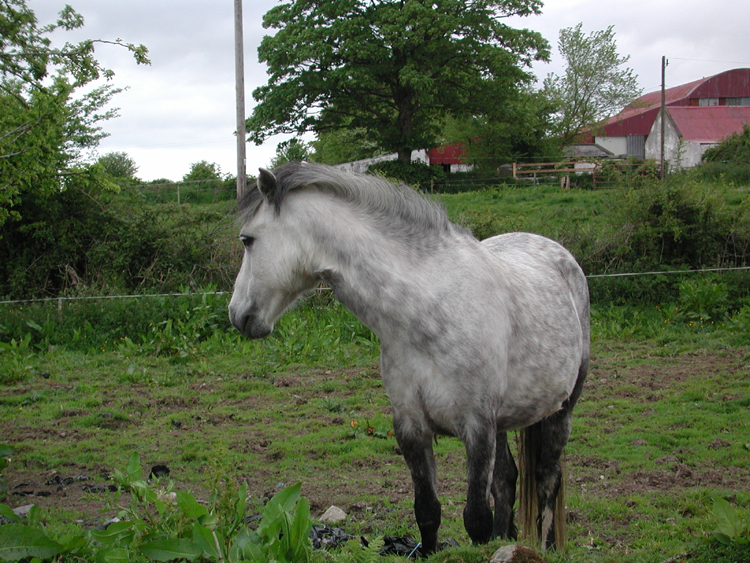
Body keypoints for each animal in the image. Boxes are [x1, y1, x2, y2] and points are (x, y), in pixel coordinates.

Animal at [229, 163, 592, 556]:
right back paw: (505, 539)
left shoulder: (477, 426)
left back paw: (549, 546)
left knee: (547, 480)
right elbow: (427, 511)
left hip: (561, 410)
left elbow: (475, 519)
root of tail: (560, 255)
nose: (236, 314)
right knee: (507, 479)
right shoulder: (410, 426)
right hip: (504, 420)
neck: (427, 310)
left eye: (248, 239)